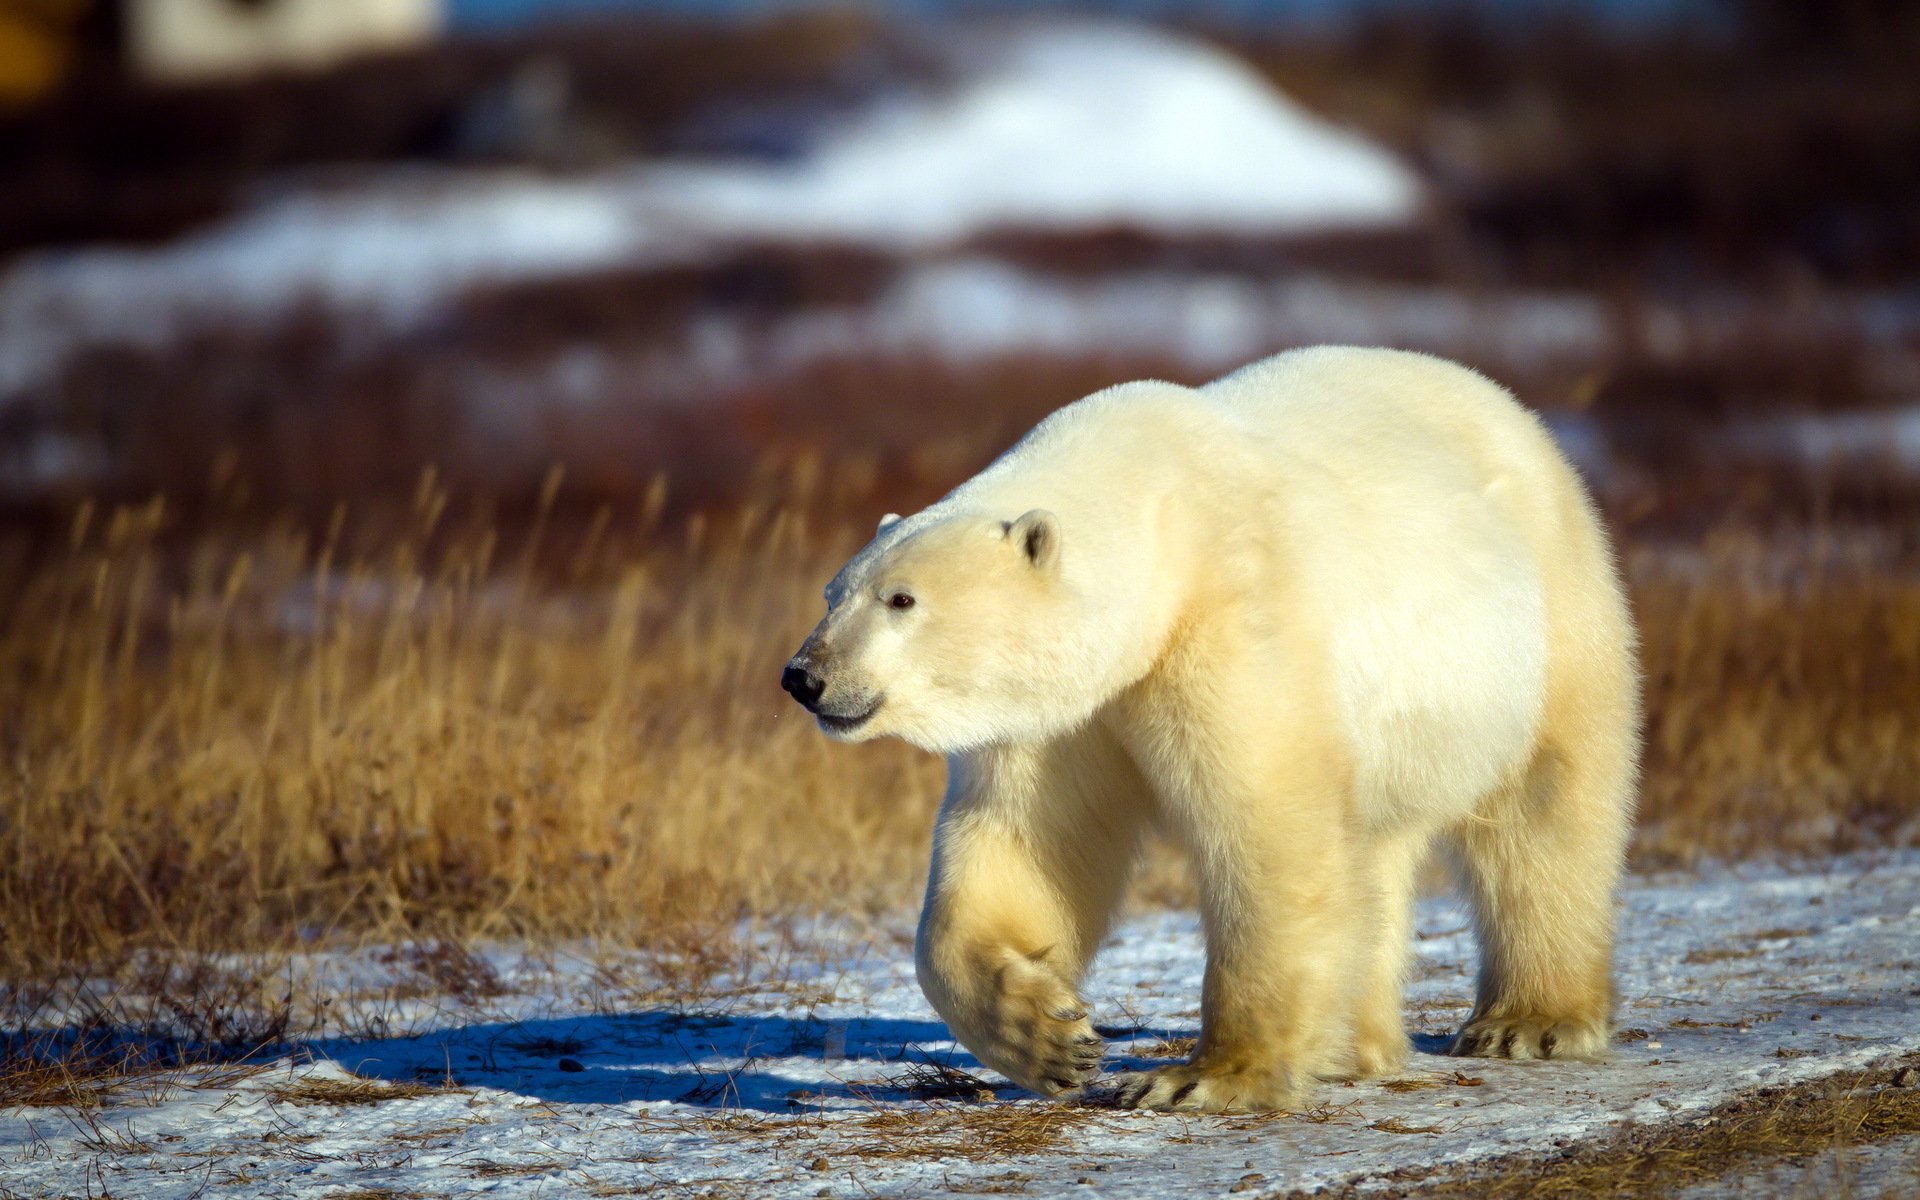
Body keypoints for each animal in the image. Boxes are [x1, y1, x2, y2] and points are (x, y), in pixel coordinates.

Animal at [780, 346, 1640, 1112]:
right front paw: (1049, 1037)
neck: (1160, 522)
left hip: (1550, 619)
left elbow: (1265, 827)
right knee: (1373, 850)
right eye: (832, 592)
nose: (804, 676)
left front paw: (1202, 1077)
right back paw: (1352, 1045)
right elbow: (1026, 841)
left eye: (901, 599)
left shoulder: (1235, 616)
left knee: (1545, 810)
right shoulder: (1065, 711)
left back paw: (1528, 1022)